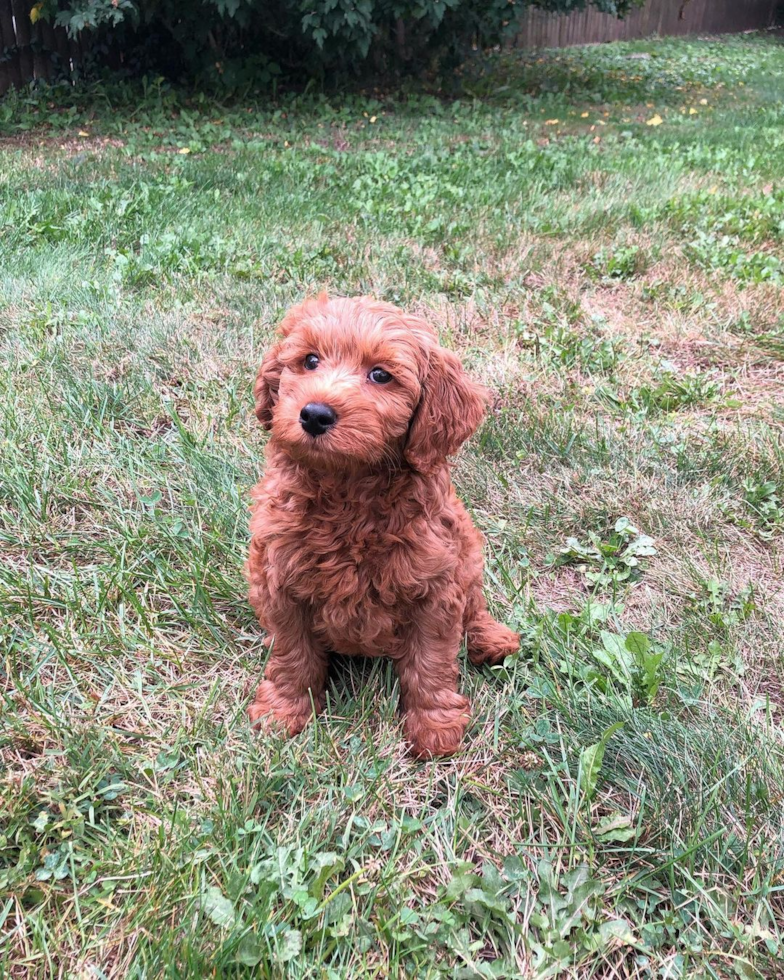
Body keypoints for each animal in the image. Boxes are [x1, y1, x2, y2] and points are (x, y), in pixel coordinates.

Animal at [245, 292, 520, 756]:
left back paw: (490, 640)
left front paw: (434, 725)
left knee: (475, 603)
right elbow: (292, 653)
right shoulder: (279, 579)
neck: (347, 493)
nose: (314, 414)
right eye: (309, 360)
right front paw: (283, 710)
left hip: (467, 550)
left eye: (380, 375)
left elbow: (430, 662)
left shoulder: (435, 588)